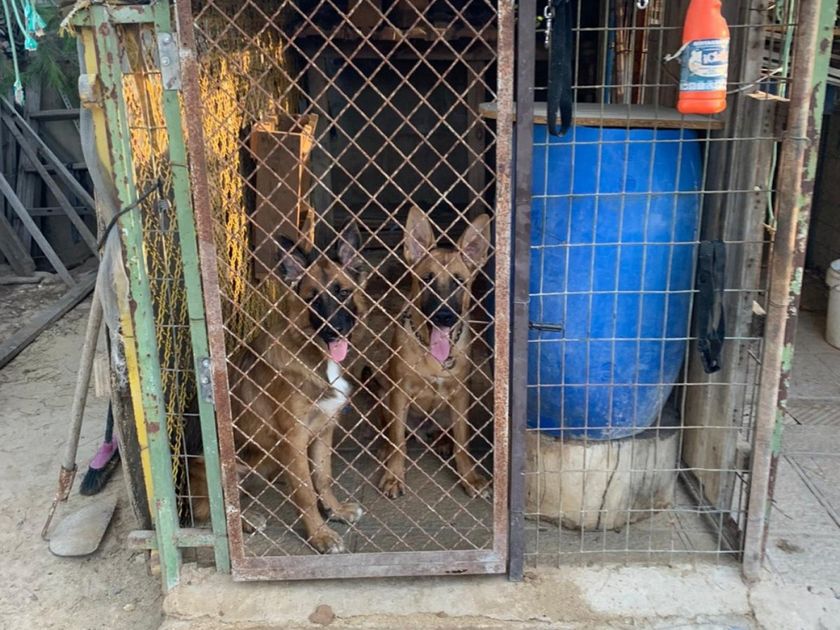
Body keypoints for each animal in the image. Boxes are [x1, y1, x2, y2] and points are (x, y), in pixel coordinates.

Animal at [190, 221, 368, 554]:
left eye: (343, 292)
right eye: (313, 299)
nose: (335, 330)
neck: (311, 354)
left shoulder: (324, 430)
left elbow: (323, 478)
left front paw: (335, 511)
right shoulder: (294, 439)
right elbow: (305, 492)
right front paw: (320, 535)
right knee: (215, 511)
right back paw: (246, 520)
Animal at [376, 206, 492, 500]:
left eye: (459, 283)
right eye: (426, 280)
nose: (444, 317)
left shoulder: (461, 394)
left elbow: (463, 442)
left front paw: (470, 478)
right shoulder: (399, 392)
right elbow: (398, 442)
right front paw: (393, 476)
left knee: (447, 432)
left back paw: (442, 442)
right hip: (384, 394)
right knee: (392, 432)